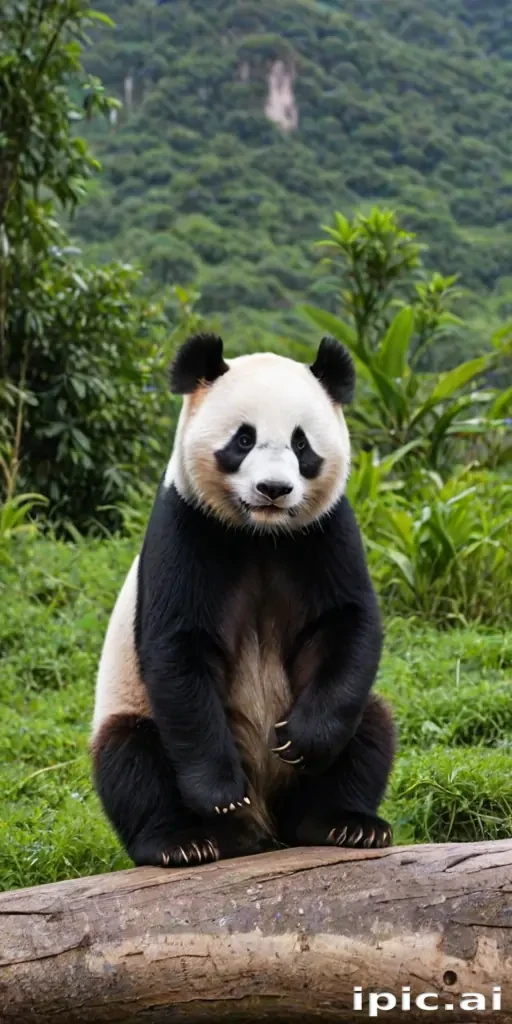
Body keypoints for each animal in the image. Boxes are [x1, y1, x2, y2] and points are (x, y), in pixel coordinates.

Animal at [91, 332, 396, 868]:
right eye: (243, 440)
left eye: (301, 444)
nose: (273, 489)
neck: (261, 535)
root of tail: (265, 827)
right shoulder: (187, 525)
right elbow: (178, 648)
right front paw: (220, 793)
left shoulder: (325, 531)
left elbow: (348, 622)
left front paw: (300, 741)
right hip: (132, 708)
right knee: (130, 756)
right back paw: (185, 840)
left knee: (371, 727)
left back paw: (343, 824)